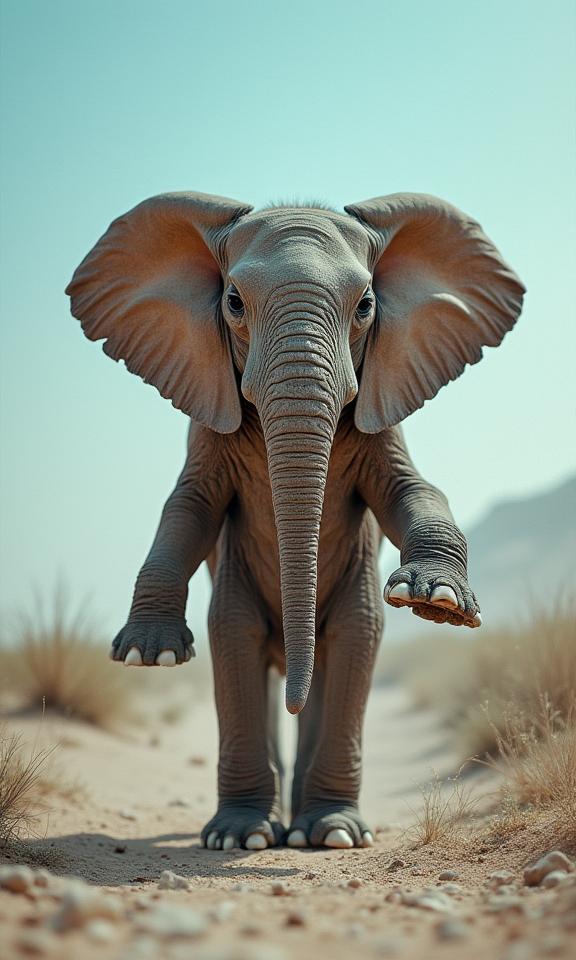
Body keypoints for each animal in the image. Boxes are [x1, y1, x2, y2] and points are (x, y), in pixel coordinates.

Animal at [66, 191, 524, 851]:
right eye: (233, 301)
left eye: (366, 306)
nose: (434, 598)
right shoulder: (209, 423)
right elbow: (188, 508)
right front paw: (149, 654)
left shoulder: (381, 411)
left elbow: (413, 490)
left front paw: (435, 599)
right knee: (234, 635)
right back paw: (252, 834)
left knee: (357, 637)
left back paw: (324, 832)